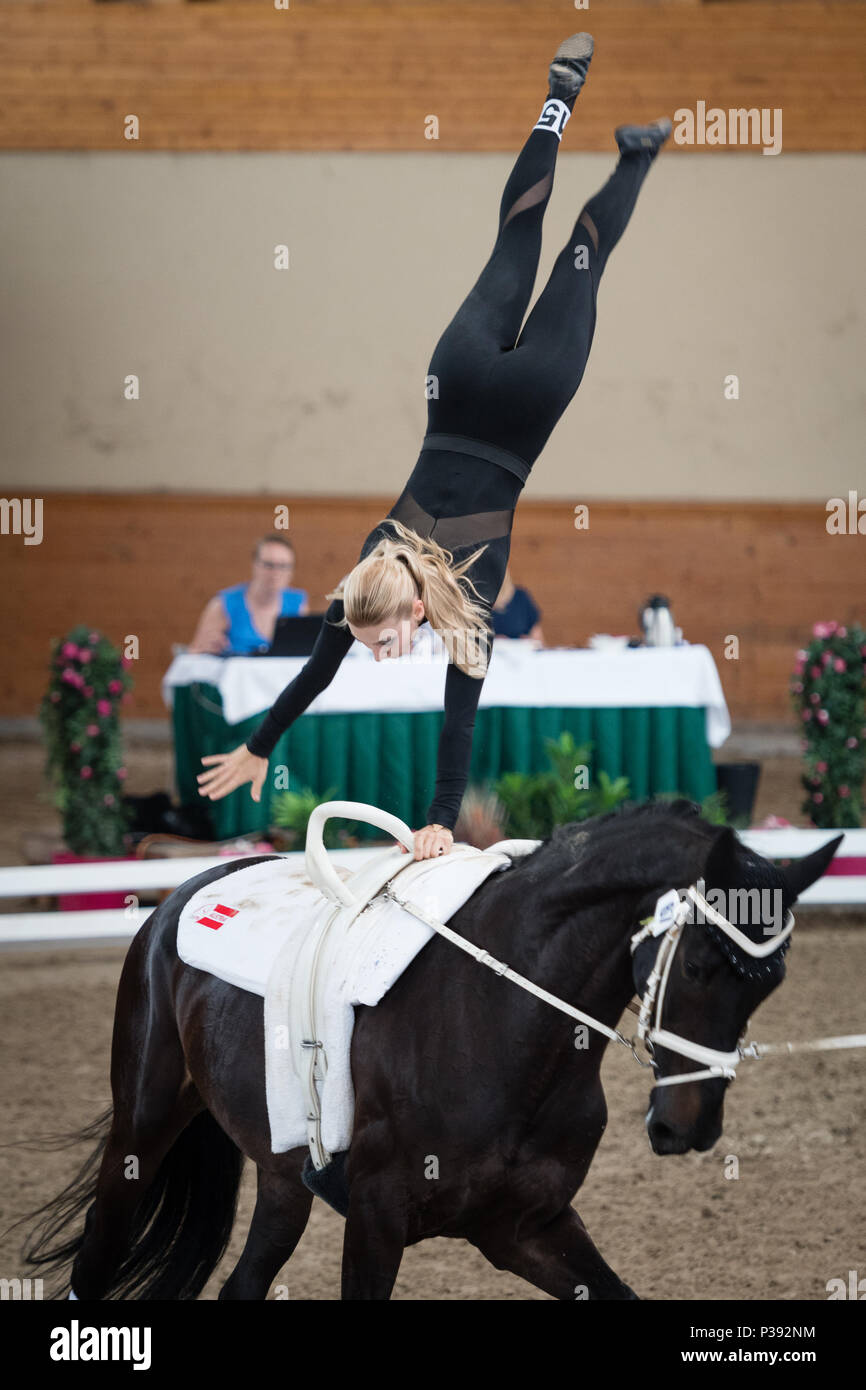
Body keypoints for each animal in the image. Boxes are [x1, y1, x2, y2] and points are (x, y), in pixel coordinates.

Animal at [20, 806, 845, 1301]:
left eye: (771, 985)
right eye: (700, 967)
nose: (687, 1128)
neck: (508, 1031)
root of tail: (182, 891)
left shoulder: (525, 1226)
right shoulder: (377, 1217)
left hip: (284, 1175)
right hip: (143, 1129)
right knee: (98, 1254)